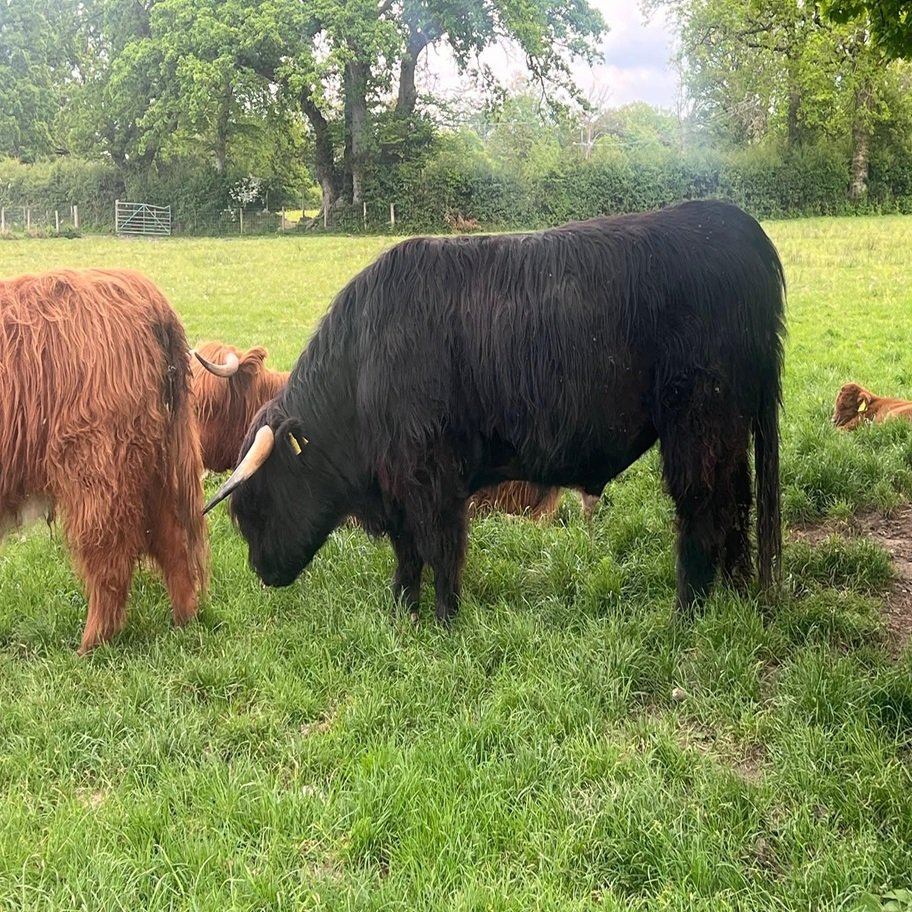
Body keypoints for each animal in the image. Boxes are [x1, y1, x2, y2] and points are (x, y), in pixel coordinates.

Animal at [0, 268, 209, 652]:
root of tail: (141, 289)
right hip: (147, 461)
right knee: (169, 537)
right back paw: (184, 620)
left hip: (98, 462)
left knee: (110, 553)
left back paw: (91, 643)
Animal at [204, 200, 786, 624]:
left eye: (257, 501)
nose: (262, 573)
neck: (362, 364)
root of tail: (737, 226)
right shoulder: (400, 484)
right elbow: (407, 553)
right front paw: (402, 613)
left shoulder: (431, 476)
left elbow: (439, 548)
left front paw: (444, 619)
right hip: (728, 430)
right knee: (735, 502)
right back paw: (734, 591)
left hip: (698, 423)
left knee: (702, 509)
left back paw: (688, 611)